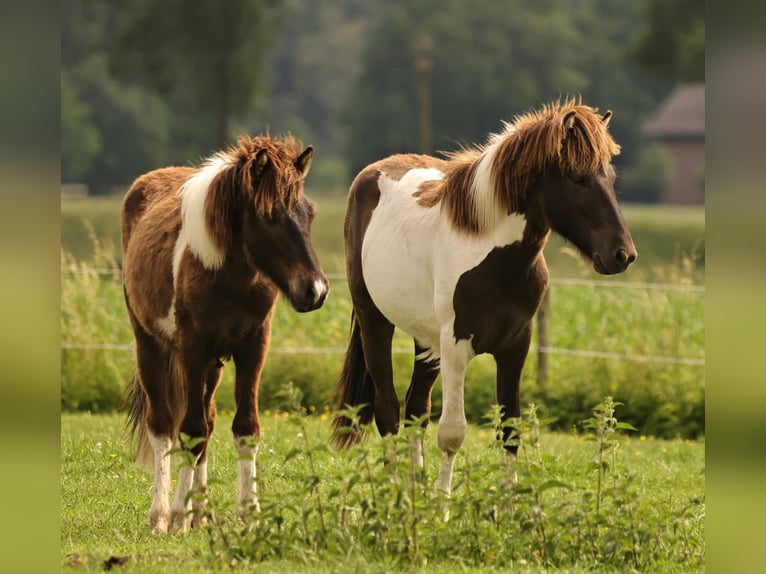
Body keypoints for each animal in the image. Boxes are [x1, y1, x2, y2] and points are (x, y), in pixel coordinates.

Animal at [121, 134, 329, 533]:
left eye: (309, 213)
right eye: (269, 216)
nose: (315, 291)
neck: (230, 276)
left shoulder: (253, 346)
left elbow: (243, 426)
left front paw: (249, 512)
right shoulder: (192, 348)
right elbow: (189, 429)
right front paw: (176, 515)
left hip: (213, 365)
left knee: (208, 418)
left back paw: (201, 514)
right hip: (150, 346)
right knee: (163, 425)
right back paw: (160, 515)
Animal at [331, 99, 637, 501]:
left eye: (611, 178)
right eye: (578, 177)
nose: (623, 255)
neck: (493, 256)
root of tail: (368, 175)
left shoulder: (516, 346)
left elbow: (510, 431)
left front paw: (506, 507)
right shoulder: (456, 345)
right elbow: (452, 433)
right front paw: (443, 505)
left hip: (426, 340)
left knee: (415, 409)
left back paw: (414, 489)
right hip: (375, 322)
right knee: (388, 409)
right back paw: (398, 494)